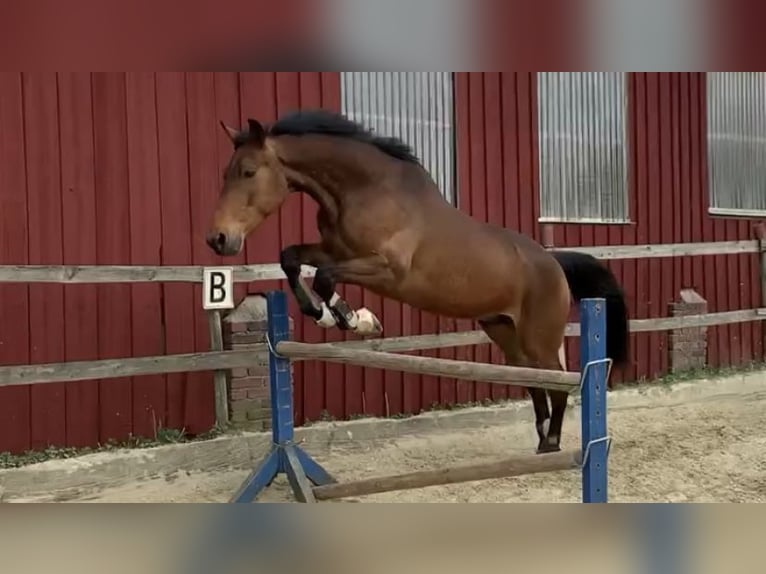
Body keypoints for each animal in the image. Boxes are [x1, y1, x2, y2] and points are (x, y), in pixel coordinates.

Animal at [206, 110, 632, 456]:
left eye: (248, 171)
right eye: (225, 173)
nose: (218, 239)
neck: (363, 191)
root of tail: (553, 262)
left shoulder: (386, 270)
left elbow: (326, 277)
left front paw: (354, 319)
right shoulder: (332, 250)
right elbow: (291, 257)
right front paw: (321, 313)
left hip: (538, 338)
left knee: (557, 384)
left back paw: (554, 444)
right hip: (505, 333)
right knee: (534, 384)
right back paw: (543, 442)